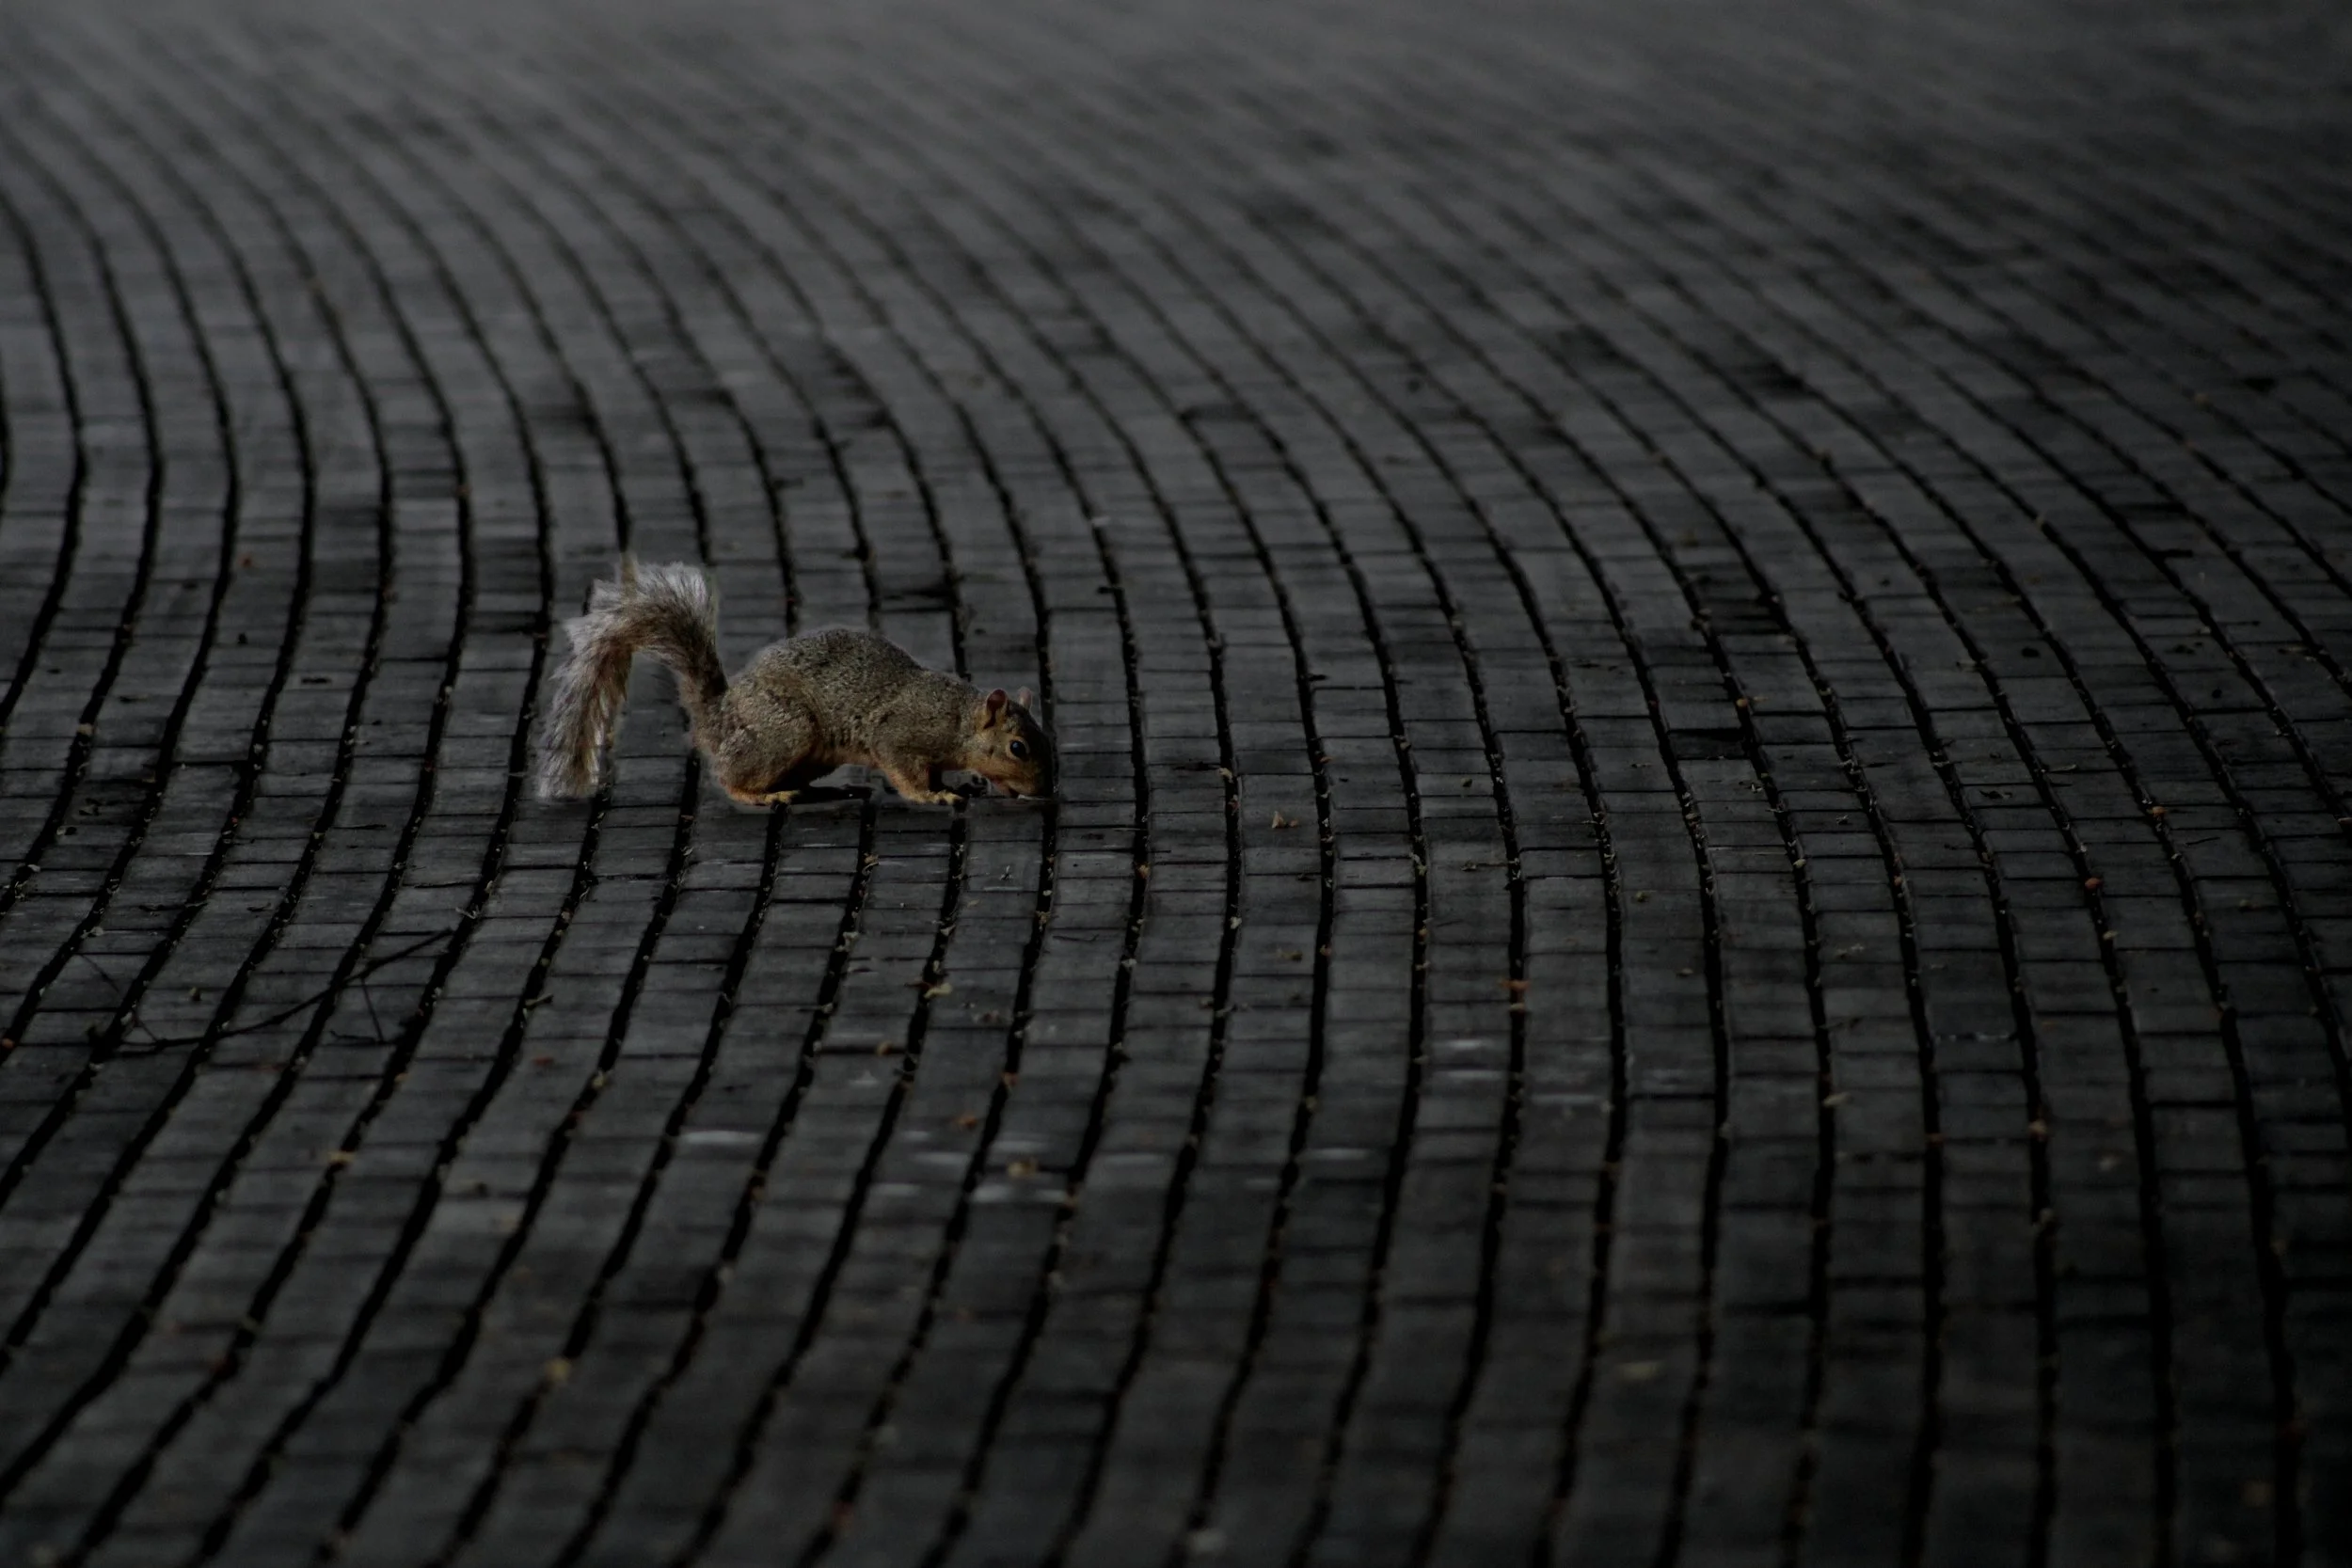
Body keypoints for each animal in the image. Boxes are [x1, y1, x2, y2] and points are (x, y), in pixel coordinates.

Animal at [534, 557, 1053, 806]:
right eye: (1018, 748)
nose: (1044, 791)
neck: (958, 719)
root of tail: (718, 717)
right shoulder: (900, 734)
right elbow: (905, 770)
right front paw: (932, 795)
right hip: (785, 730)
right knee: (731, 774)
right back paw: (763, 795)